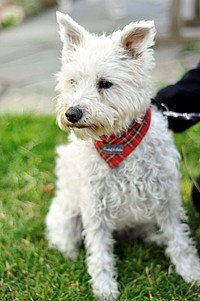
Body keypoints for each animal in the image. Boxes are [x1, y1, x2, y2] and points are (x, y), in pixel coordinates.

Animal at [45, 12, 200, 298]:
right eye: (73, 81)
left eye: (105, 83)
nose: (72, 114)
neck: (116, 143)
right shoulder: (95, 207)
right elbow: (99, 252)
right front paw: (105, 288)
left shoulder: (166, 198)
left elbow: (179, 238)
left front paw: (191, 272)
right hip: (67, 216)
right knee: (64, 238)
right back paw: (69, 255)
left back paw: (154, 237)